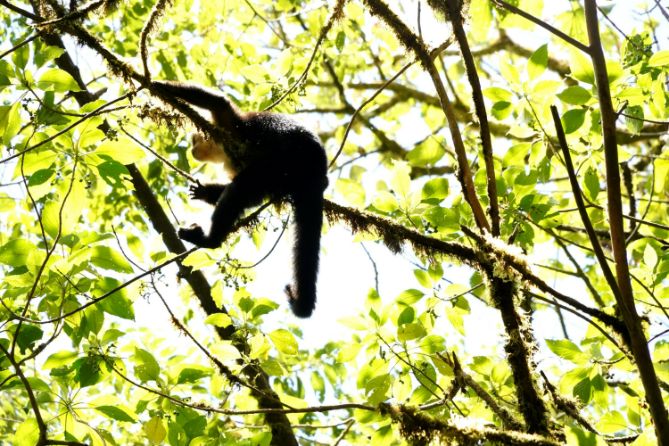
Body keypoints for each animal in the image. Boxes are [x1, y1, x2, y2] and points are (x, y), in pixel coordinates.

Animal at [151, 81, 328, 318]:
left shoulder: (229, 128)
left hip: (289, 157)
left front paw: (158, 85)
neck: (223, 151)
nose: (191, 148)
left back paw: (209, 240)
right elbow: (250, 198)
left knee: (241, 188)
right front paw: (205, 192)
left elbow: (218, 103)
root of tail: (318, 170)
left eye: (195, 140)